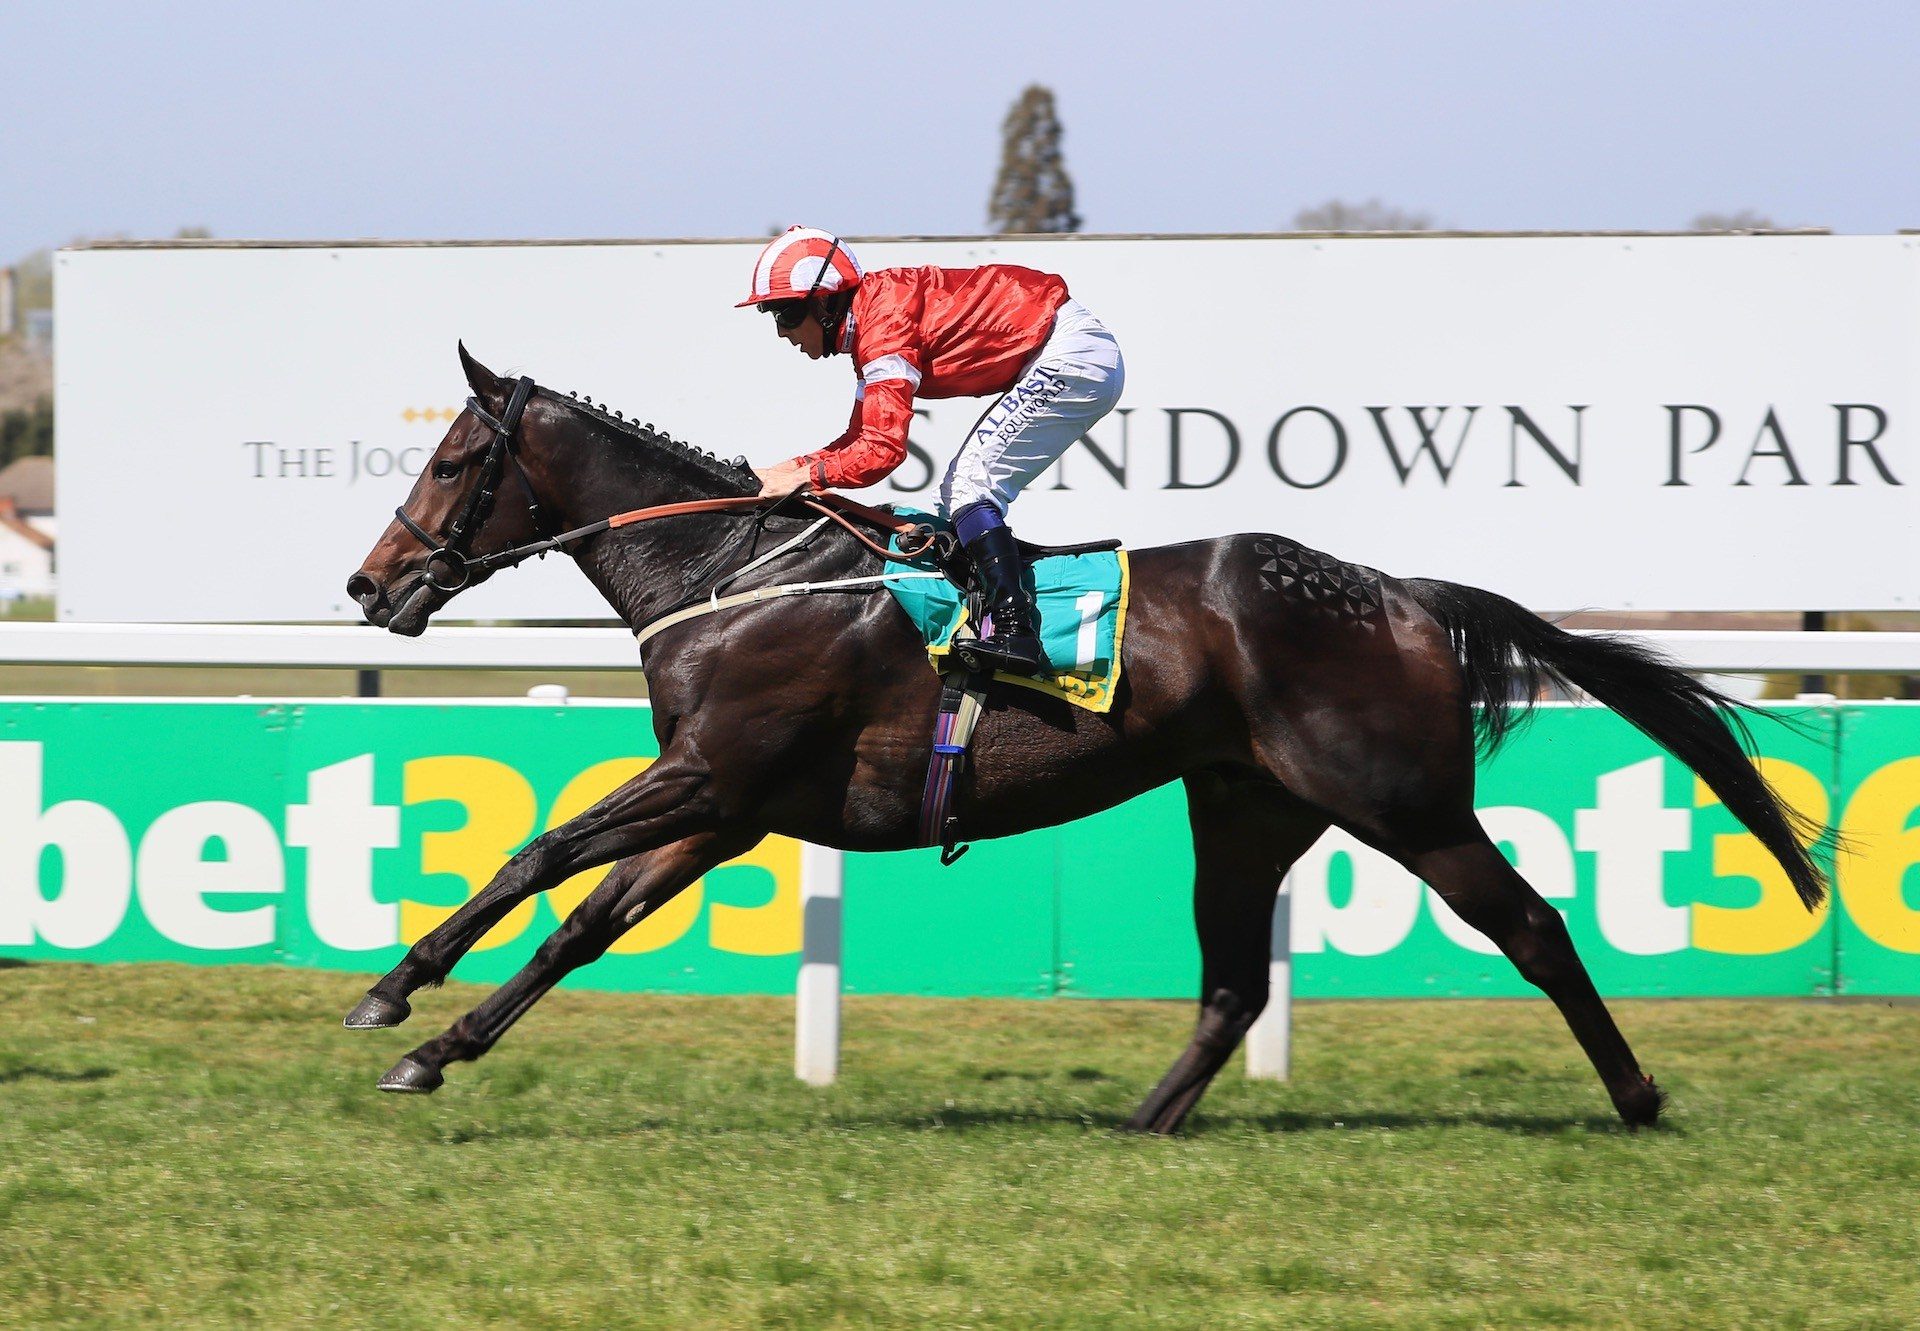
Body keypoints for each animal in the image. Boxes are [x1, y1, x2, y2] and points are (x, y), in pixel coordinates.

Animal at [345, 341, 1827, 1129]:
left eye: (454, 461)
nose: (368, 585)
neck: (735, 569)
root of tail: (1401, 592)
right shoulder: (727, 803)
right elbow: (582, 923)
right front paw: (434, 1046)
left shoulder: (709, 774)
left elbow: (537, 858)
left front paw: (392, 989)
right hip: (1244, 804)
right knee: (1236, 981)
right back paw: (1145, 1117)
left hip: (1404, 801)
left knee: (1530, 925)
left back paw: (1636, 1096)